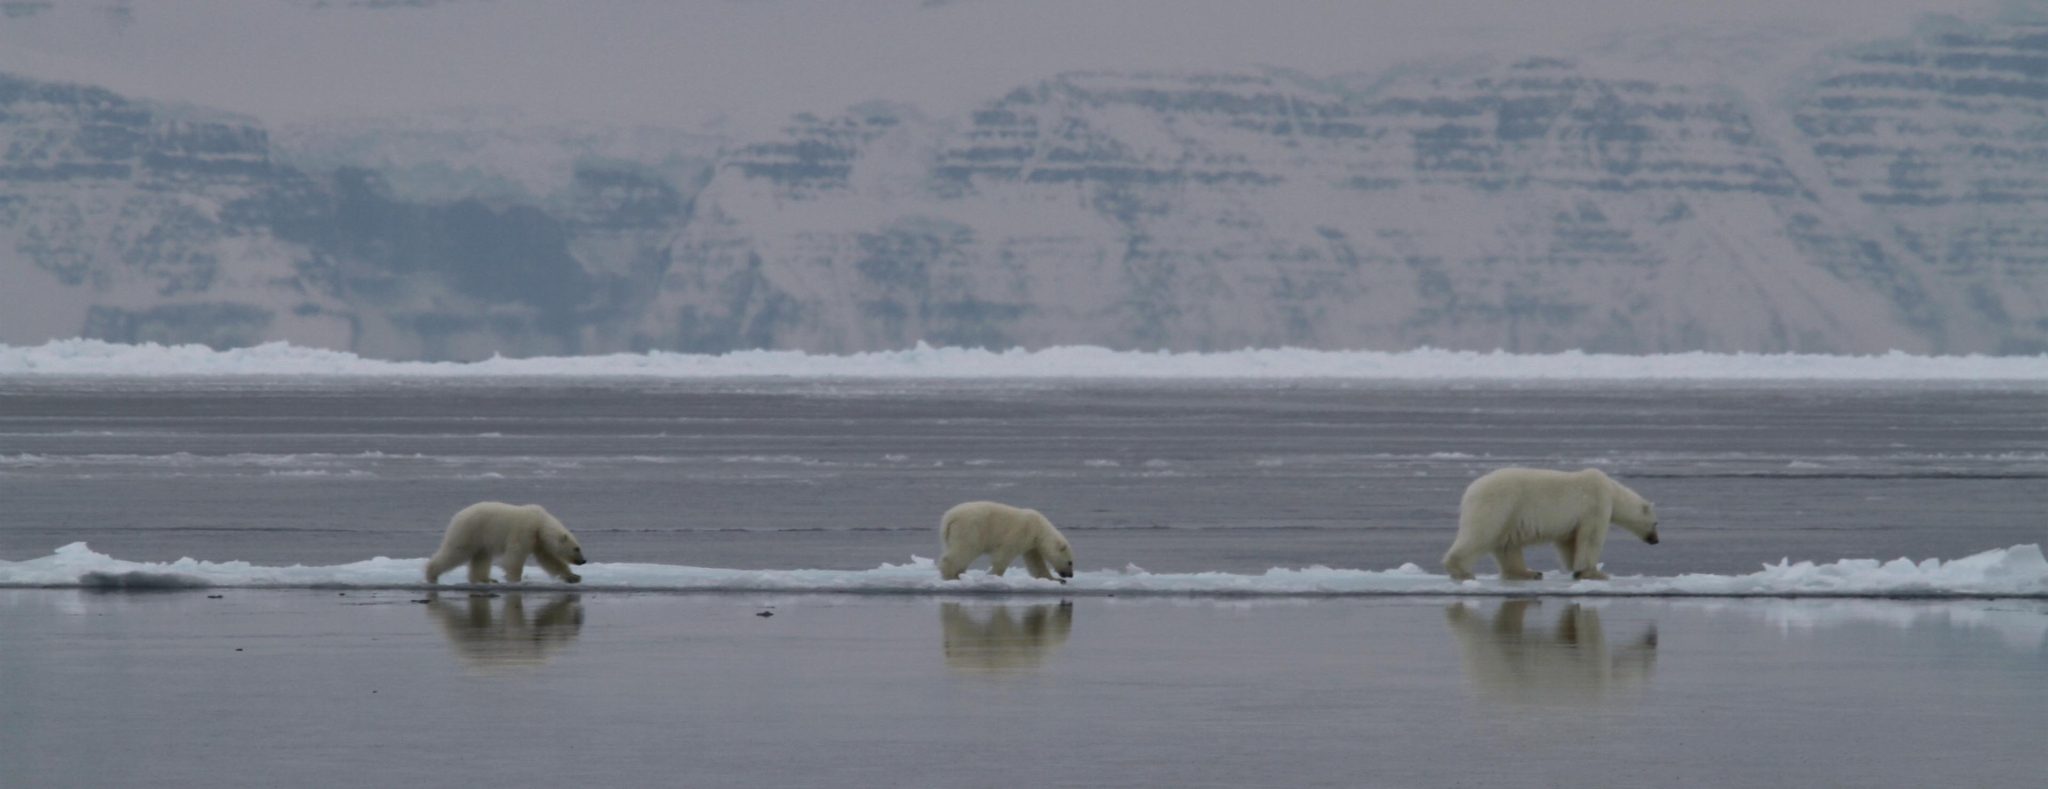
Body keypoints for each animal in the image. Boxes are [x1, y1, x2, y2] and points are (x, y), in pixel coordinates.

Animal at [423, 500, 585, 582]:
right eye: (577, 548)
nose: (583, 561)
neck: (540, 522)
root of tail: (456, 516)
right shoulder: (525, 530)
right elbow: (515, 554)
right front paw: (515, 578)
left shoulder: (538, 540)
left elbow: (549, 559)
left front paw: (573, 576)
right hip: (469, 531)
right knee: (456, 551)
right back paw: (431, 574)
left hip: (481, 537)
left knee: (481, 556)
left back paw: (485, 579)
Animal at [937, 500, 1081, 582]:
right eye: (1070, 562)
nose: (1070, 575)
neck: (1039, 528)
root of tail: (949, 518)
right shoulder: (1021, 532)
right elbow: (1004, 554)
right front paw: (994, 575)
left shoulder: (1032, 545)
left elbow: (1036, 563)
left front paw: (1054, 579)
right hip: (970, 529)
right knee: (964, 550)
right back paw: (950, 576)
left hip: (951, 535)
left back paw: (959, 574)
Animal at [1441, 467, 1662, 577]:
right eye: (1655, 523)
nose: (1656, 540)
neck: (1612, 491)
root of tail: (1470, 490)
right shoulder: (1595, 504)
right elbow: (1591, 537)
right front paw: (1595, 572)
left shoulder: (1573, 521)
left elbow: (1569, 541)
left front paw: (1576, 568)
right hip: (1499, 504)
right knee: (1480, 534)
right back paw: (1460, 569)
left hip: (1510, 513)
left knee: (1506, 543)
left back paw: (1528, 572)